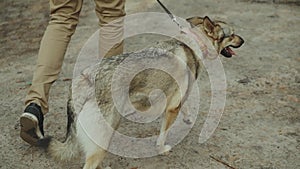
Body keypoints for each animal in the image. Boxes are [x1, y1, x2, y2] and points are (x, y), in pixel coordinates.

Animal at [38, 16, 244, 169]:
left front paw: (187, 118)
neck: (193, 43)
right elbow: (162, 135)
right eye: (232, 34)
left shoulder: (175, 99)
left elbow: (184, 107)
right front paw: (162, 149)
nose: (243, 40)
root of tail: (83, 79)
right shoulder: (172, 108)